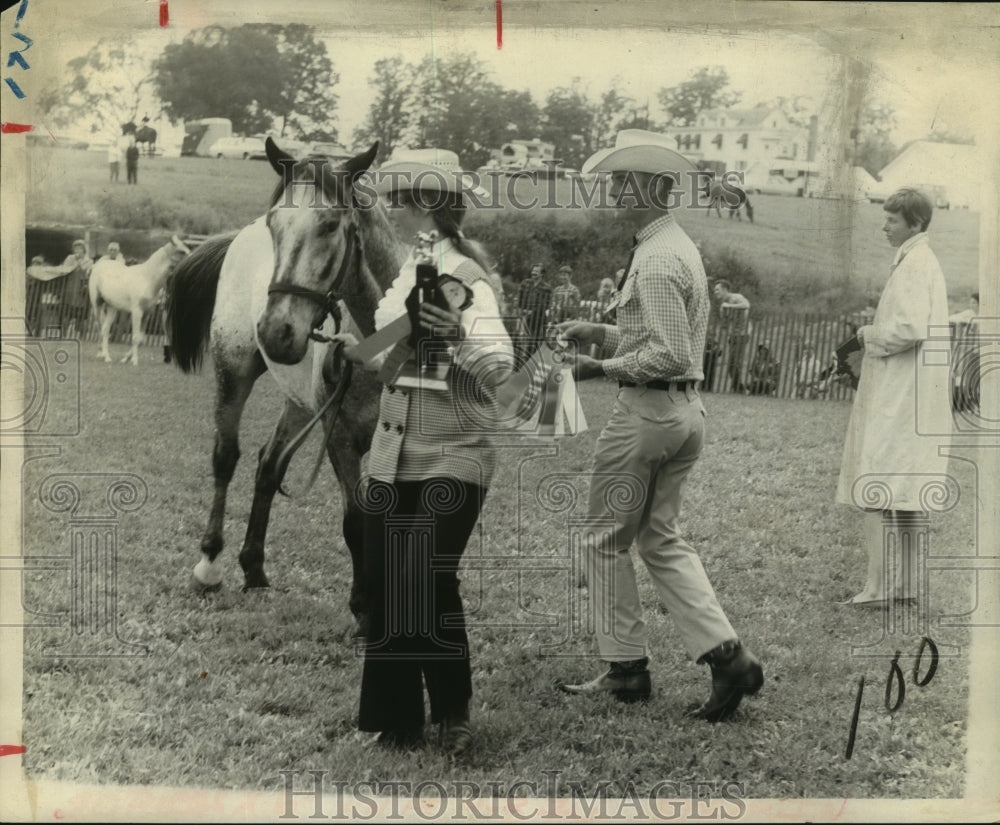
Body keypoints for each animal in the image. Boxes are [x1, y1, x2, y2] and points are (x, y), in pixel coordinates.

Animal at [91, 230, 192, 362]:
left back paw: (106, 356)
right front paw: (134, 360)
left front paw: (125, 359)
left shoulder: (147, 313)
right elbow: (134, 337)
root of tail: (99, 265)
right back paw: (101, 354)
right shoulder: (137, 311)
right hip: (97, 304)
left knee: (105, 329)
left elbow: (141, 338)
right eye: (181, 251)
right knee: (98, 326)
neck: (147, 278)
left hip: (112, 307)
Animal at [166, 142, 400, 632]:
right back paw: (209, 566)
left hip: (299, 403)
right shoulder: (341, 435)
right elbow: (355, 520)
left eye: (330, 224)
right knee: (226, 457)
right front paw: (364, 606)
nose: (276, 330)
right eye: (276, 224)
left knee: (268, 465)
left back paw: (253, 568)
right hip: (234, 371)